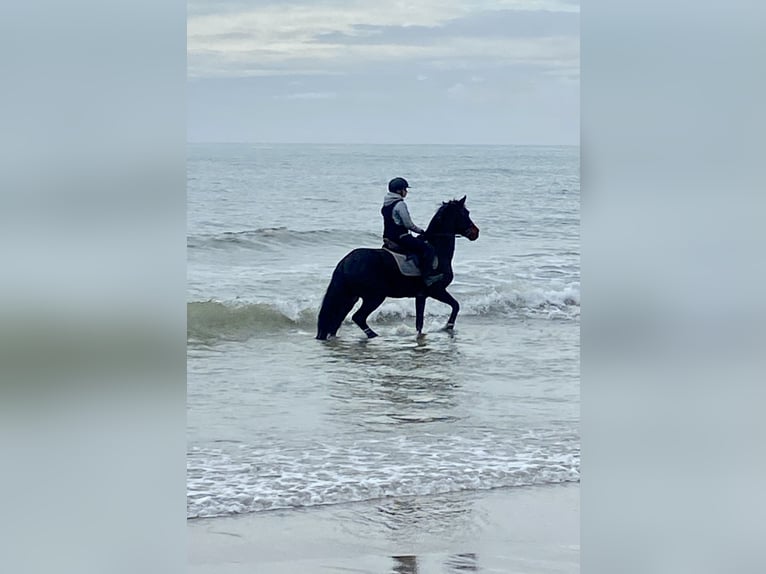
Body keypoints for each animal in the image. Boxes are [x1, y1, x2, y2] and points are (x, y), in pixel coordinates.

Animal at [316, 196, 479, 340]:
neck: (438, 249)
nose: (475, 233)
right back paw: (374, 336)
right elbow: (454, 306)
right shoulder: (435, 291)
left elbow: (422, 321)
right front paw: (448, 326)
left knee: (337, 320)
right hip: (374, 297)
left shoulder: (422, 295)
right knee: (358, 317)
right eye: (464, 213)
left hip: (351, 297)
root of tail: (345, 262)